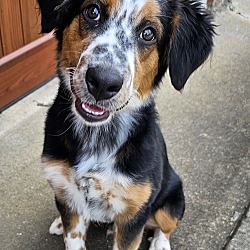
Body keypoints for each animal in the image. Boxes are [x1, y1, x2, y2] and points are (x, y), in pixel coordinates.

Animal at [38, 0, 214, 249]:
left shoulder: (134, 214)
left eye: (148, 33)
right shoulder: (69, 194)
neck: (98, 136)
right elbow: (73, 237)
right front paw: (64, 226)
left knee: (165, 225)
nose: (103, 82)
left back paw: (160, 243)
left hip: (174, 199)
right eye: (92, 11)